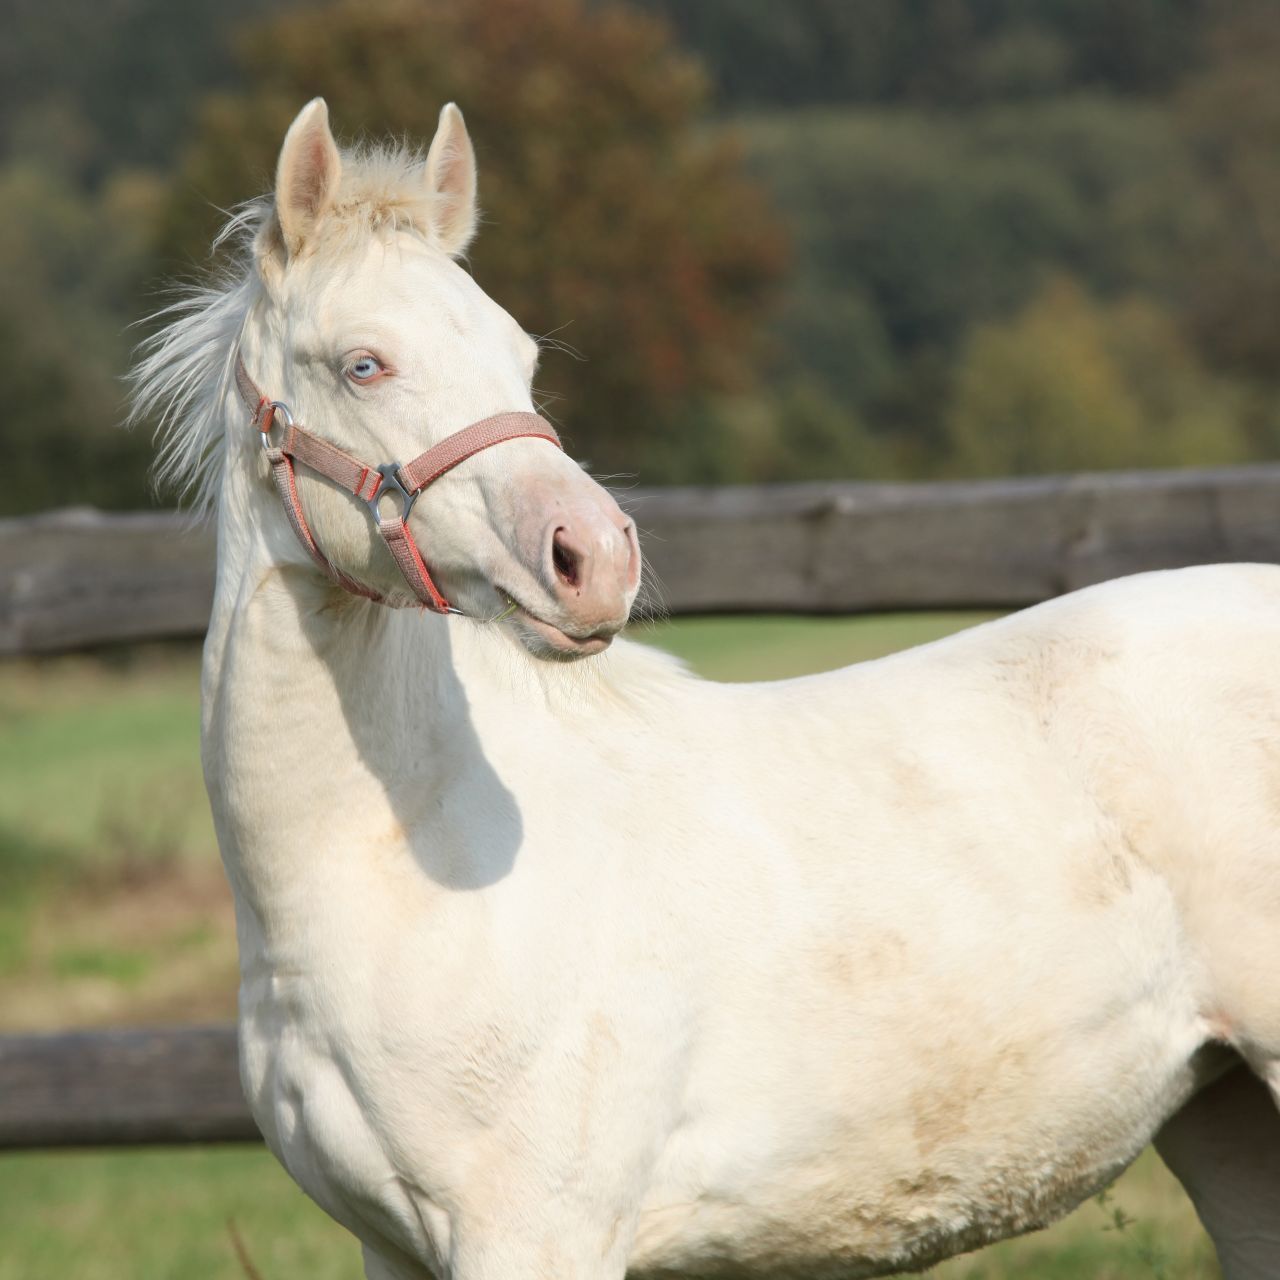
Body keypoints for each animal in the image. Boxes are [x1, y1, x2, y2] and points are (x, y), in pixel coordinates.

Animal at [132, 102, 1280, 1280]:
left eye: (519, 353)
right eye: (363, 363)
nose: (592, 556)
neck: (401, 861)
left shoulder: (536, 1234)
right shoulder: (391, 1249)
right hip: (1229, 1119)